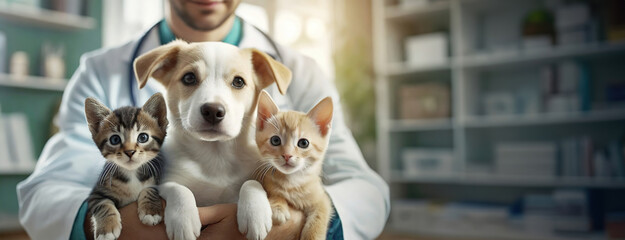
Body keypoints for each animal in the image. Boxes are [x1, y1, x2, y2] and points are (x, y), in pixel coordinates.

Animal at [85, 92, 169, 240]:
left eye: (143, 137)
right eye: (115, 139)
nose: (130, 152)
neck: (132, 173)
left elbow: (150, 189)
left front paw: (150, 211)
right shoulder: (96, 193)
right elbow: (103, 204)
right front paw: (106, 230)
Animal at [133, 40, 292, 239]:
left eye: (238, 81)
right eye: (189, 78)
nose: (213, 111)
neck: (215, 155)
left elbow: (252, 183)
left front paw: (254, 212)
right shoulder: (166, 181)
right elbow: (179, 189)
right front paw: (183, 220)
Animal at [254, 90, 334, 240]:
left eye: (303, 143)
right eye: (275, 140)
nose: (287, 155)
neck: (292, 182)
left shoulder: (322, 199)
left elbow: (320, 216)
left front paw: (312, 235)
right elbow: (273, 190)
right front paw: (278, 206)